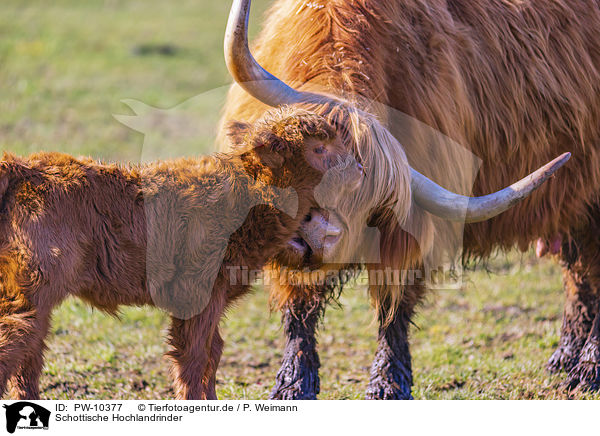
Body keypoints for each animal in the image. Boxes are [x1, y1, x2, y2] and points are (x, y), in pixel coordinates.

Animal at [0, 107, 360, 400]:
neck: (249, 198)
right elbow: (194, 356)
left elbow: (213, 351)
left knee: (29, 357)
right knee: (15, 339)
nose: (359, 168)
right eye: (319, 148)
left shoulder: (215, 294)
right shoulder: (195, 291)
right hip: (30, 290)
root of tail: (23, 168)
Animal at [220, 0, 580, 398]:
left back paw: (583, 370)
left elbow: (394, 307)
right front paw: (293, 385)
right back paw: (564, 360)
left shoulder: (414, 228)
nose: (317, 229)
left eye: (364, 187)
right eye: (307, 154)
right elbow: (299, 306)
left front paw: (388, 384)